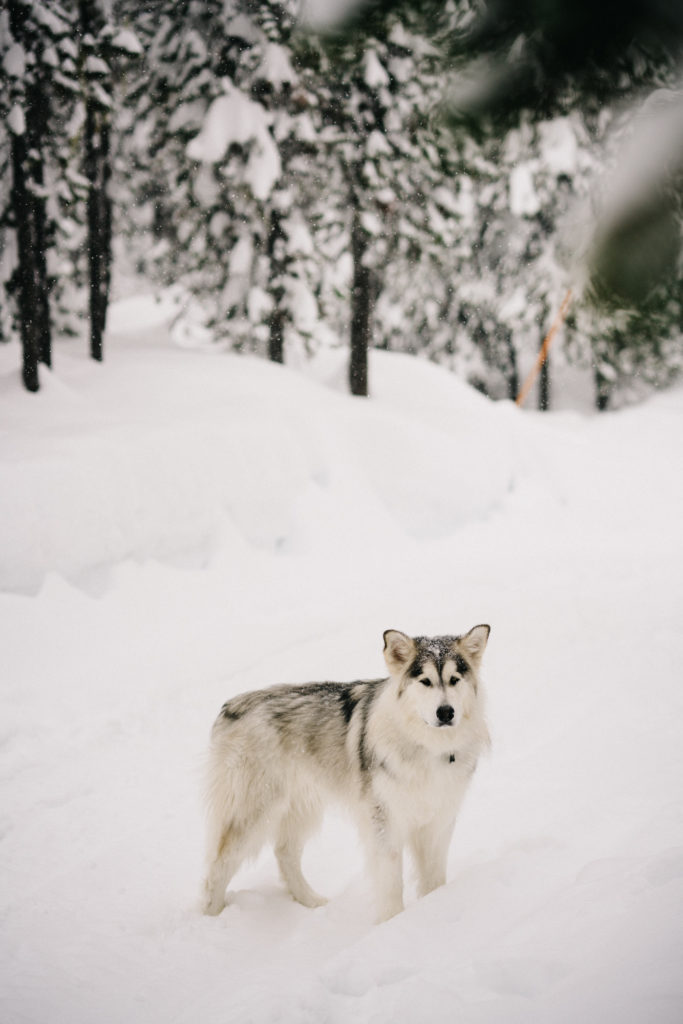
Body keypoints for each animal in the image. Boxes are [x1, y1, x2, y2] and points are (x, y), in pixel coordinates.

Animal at [200, 618, 489, 925]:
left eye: (454, 679)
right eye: (425, 681)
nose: (446, 712)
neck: (428, 746)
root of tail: (232, 706)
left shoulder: (438, 822)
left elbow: (434, 880)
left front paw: (435, 909)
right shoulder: (385, 823)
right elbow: (390, 885)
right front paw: (391, 922)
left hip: (302, 805)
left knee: (285, 853)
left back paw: (311, 902)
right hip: (254, 810)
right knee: (219, 866)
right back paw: (212, 916)